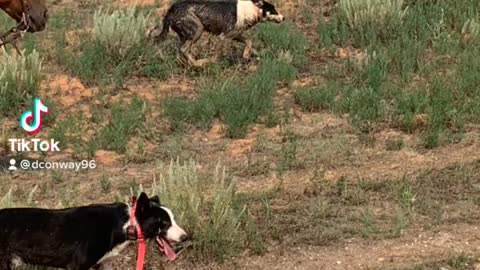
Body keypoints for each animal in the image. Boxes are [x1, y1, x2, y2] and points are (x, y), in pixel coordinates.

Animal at [0, 192, 188, 270]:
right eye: (164, 223)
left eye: (173, 219)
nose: (185, 237)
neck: (124, 224)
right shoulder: (77, 266)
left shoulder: (103, 265)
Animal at [149, 0, 284, 67]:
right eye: (273, 10)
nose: (284, 18)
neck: (252, 10)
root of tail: (171, 9)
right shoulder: (223, 37)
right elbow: (216, 55)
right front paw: (212, 62)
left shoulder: (235, 34)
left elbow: (249, 41)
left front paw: (246, 54)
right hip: (198, 30)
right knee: (183, 50)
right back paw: (199, 63)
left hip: (185, 36)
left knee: (180, 52)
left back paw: (185, 64)